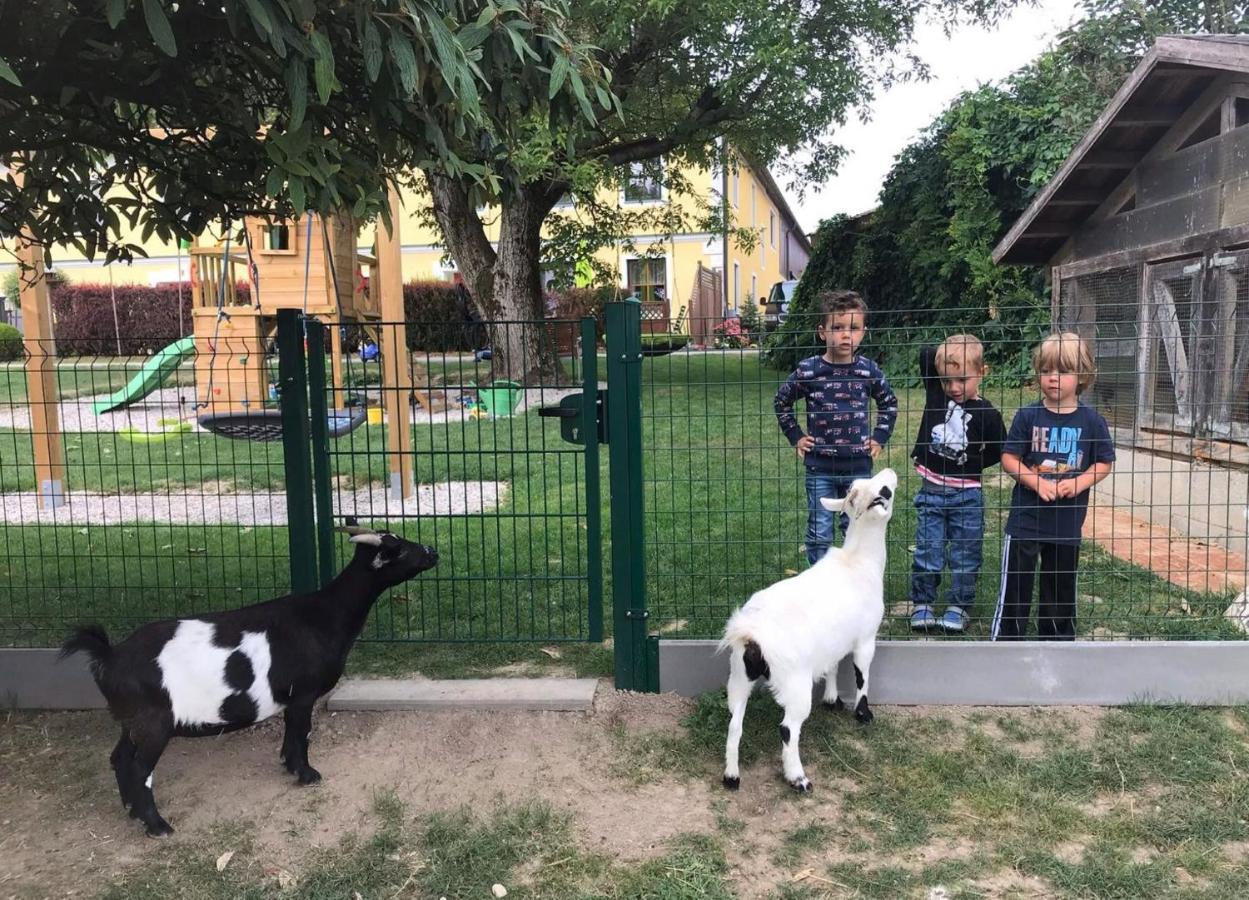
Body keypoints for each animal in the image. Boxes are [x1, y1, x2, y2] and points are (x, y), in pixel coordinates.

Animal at [60, 524, 437, 833]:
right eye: (398, 549)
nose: (432, 551)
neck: (323, 616)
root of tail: (108, 655)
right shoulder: (303, 694)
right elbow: (302, 734)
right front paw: (307, 775)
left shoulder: (290, 698)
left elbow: (290, 734)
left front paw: (289, 767)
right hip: (154, 723)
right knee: (140, 770)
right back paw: (157, 826)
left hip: (130, 721)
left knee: (119, 758)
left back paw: (131, 810)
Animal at [719, 466, 894, 788]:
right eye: (884, 491)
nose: (889, 471)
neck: (858, 562)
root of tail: (751, 634)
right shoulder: (866, 638)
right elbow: (862, 676)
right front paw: (863, 714)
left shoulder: (833, 642)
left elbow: (833, 667)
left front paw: (832, 699)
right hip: (794, 683)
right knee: (788, 728)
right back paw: (797, 777)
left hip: (739, 674)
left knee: (734, 723)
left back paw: (732, 776)